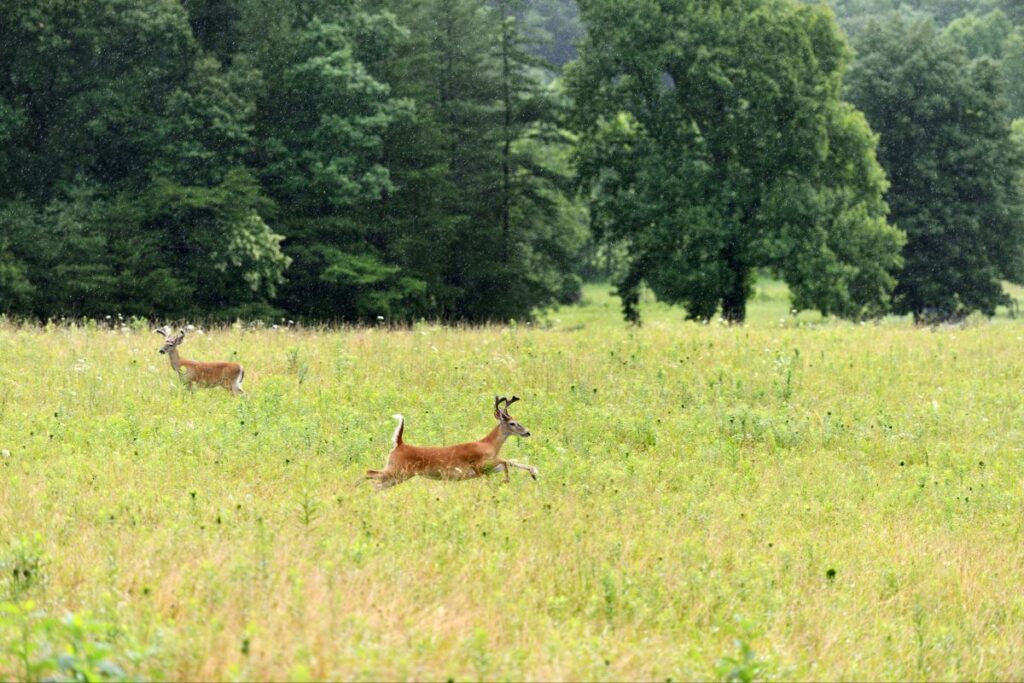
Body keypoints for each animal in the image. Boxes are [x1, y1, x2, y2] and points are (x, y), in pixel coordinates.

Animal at [370, 397, 544, 489]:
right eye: (513, 423)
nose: (527, 432)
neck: (489, 444)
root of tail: (399, 443)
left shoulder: (486, 469)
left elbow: (508, 461)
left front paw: (534, 471)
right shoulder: (479, 465)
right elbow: (505, 461)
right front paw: (506, 480)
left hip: (399, 476)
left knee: (376, 484)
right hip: (397, 471)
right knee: (370, 473)